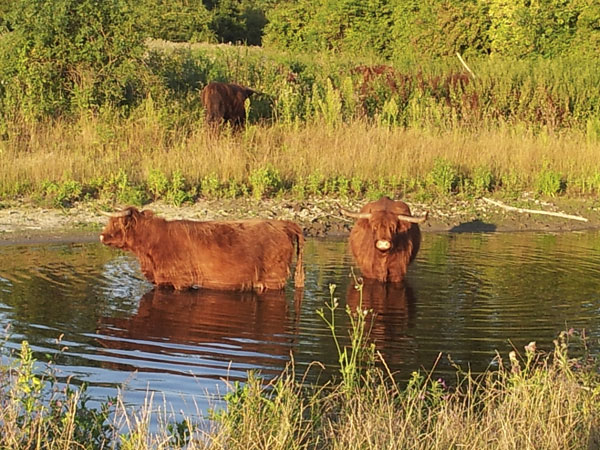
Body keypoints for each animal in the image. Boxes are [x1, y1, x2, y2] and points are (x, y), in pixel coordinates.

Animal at [100, 207, 304, 292]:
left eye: (116, 223)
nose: (101, 236)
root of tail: (283, 224)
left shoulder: (181, 281)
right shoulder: (163, 281)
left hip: (274, 279)